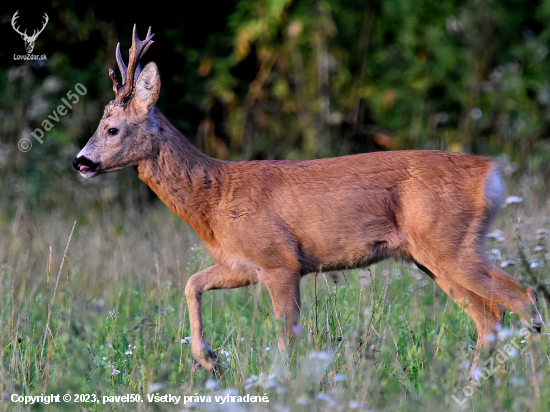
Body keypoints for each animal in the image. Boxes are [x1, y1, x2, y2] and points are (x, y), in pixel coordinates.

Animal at [73, 25, 544, 374]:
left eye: (112, 128)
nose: (81, 161)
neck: (215, 197)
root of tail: (491, 173)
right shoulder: (241, 264)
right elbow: (191, 283)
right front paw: (207, 359)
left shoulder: (280, 261)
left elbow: (287, 338)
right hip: (431, 257)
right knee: (491, 316)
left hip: (449, 244)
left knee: (523, 298)